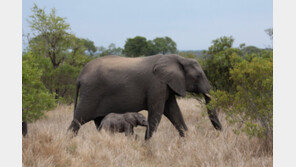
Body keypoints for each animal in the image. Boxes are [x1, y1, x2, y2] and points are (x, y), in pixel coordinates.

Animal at [68, 54, 221, 139]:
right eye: (198, 76)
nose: (220, 133)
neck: (178, 58)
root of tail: (80, 76)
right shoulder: (157, 85)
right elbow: (157, 113)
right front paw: (146, 147)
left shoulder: (166, 86)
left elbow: (174, 113)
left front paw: (188, 142)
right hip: (91, 94)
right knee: (77, 121)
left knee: (98, 123)